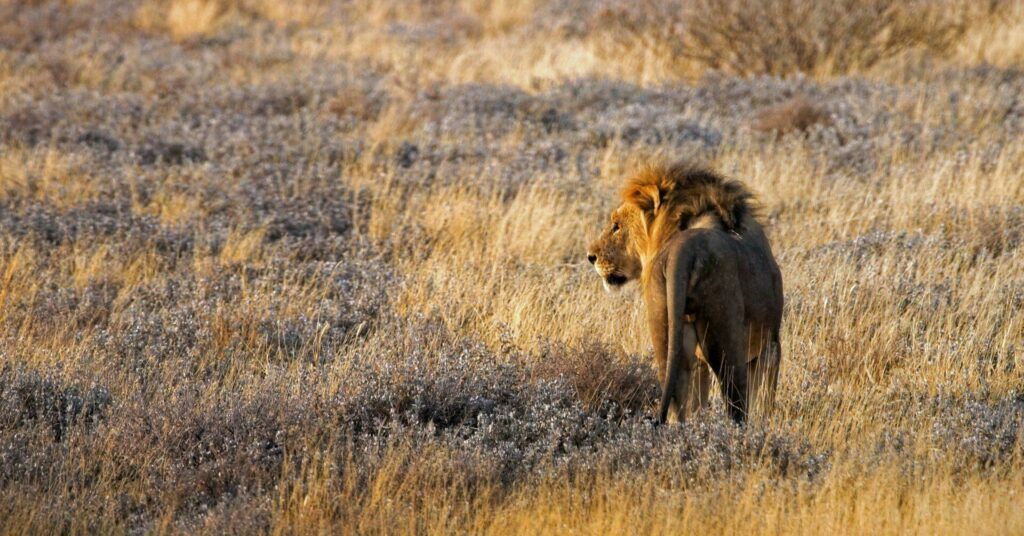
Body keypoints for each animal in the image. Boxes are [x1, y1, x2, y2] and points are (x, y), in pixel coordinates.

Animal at [585, 161, 782, 426]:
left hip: (666, 329)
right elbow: (764, 401)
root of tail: (684, 248)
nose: (591, 256)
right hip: (726, 335)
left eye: (616, 226)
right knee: (735, 398)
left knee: (678, 397)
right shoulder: (771, 347)